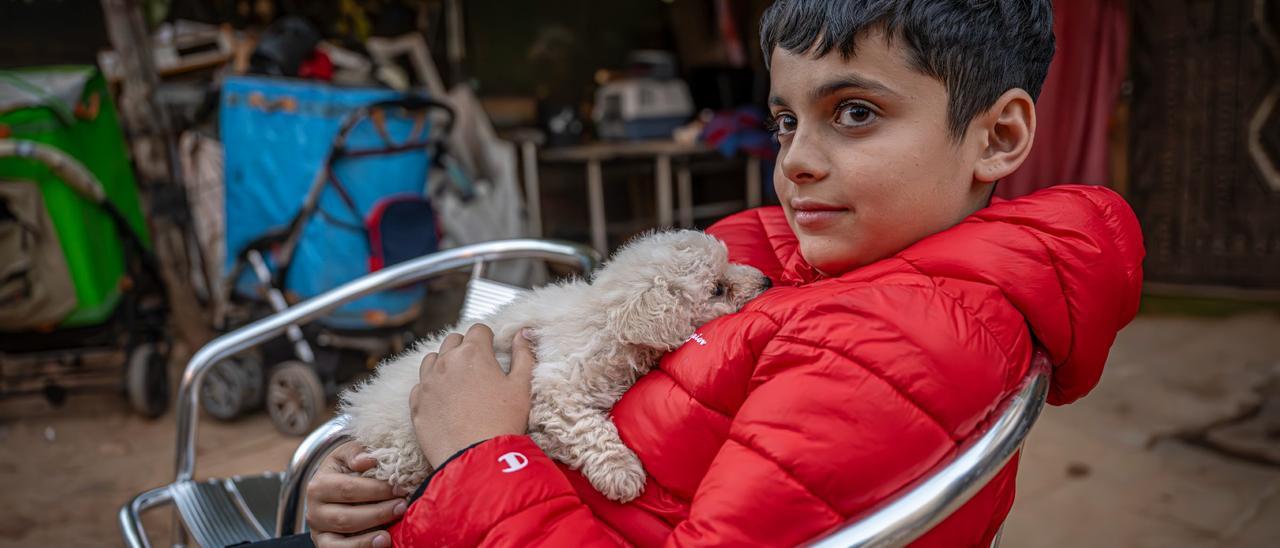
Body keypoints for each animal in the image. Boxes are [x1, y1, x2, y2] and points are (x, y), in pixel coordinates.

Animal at [340, 229, 768, 501]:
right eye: (717, 289)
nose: (765, 280)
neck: (608, 319)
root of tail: (360, 412)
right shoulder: (556, 386)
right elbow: (588, 428)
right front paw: (621, 473)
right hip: (402, 453)